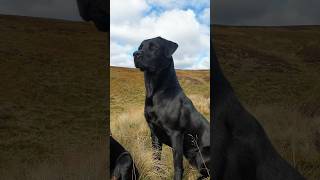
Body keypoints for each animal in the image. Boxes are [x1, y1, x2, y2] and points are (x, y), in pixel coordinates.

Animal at [132, 37, 210, 180]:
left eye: (153, 47)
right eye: (140, 47)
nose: (135, 54)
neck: (156, 92)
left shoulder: (176, 134)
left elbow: (177, 165)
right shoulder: (154, 133)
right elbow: (156, 158)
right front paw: (156, 174)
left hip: (201, 154)